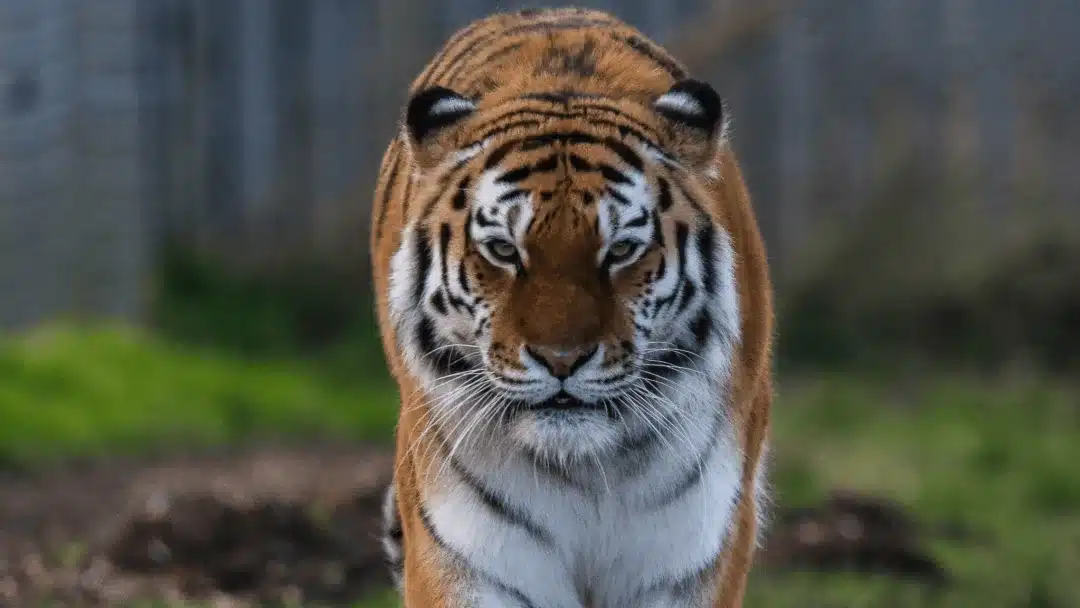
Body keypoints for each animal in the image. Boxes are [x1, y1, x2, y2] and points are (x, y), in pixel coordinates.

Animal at [369, 7, 774, 608]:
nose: (562, 360)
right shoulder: (468, 555)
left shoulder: (693, 555)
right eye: (503, 250)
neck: (586, 471)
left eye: (622, 250)